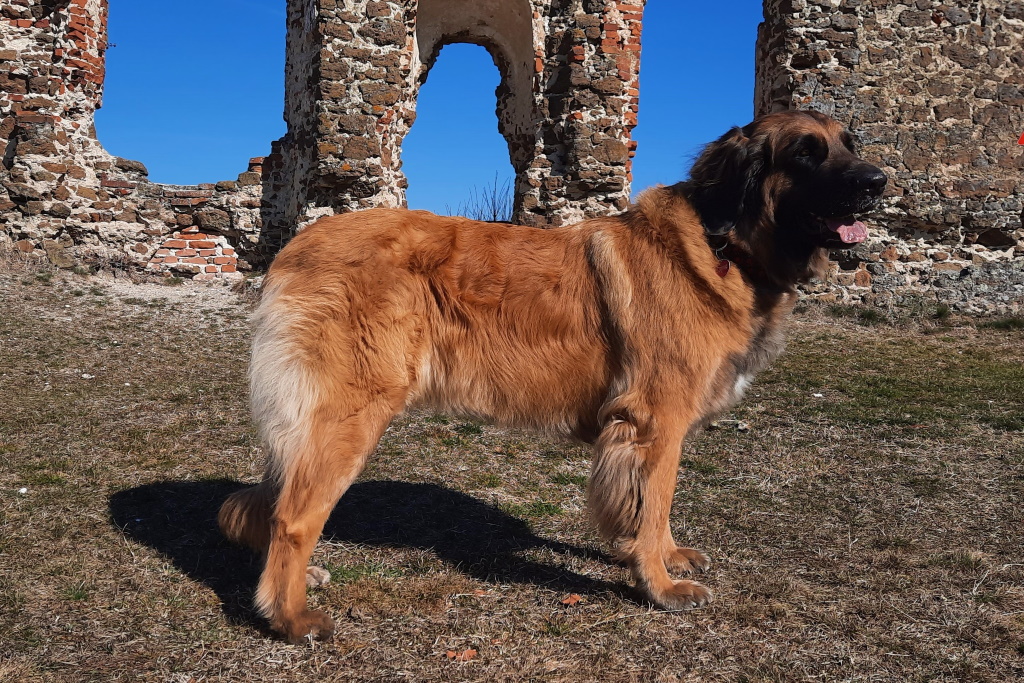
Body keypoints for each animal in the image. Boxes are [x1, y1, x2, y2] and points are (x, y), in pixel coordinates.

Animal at [218, 111, 888, 643]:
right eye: (806, 152)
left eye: (848, 144)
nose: (877, 182)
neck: (727, 241)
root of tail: (297, 245)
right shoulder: (657, 422)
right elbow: (655, 502)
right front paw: (658, 585)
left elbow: (653, 507)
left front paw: (665, 557)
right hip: (349, 414)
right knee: (293, 516)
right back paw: (291, 615)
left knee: (273, 500)